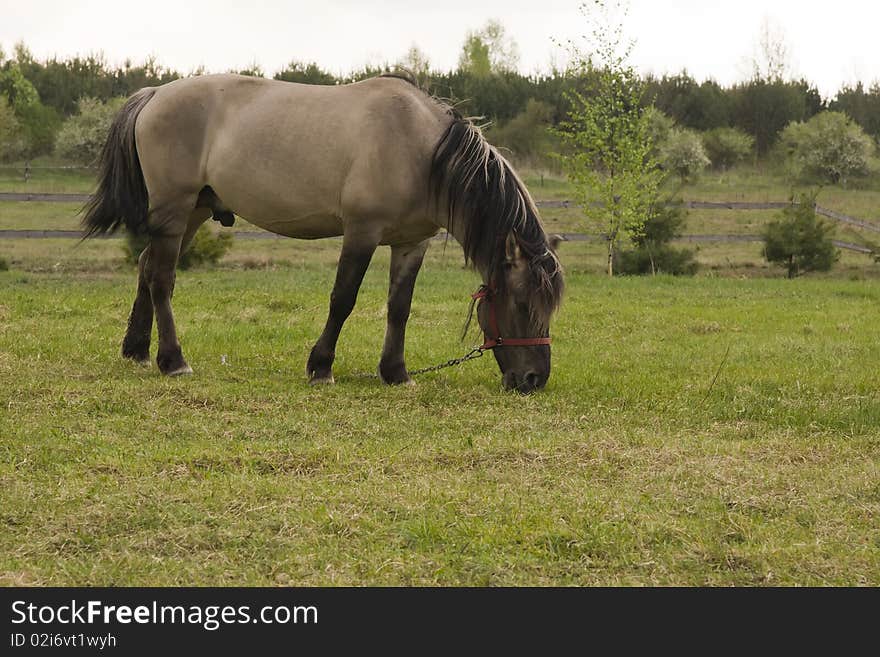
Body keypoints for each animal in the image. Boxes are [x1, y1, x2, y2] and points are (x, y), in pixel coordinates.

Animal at [84, 72, 564, 392]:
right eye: (522, 302)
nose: (534, 378)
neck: (422, 151)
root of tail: (155, 94)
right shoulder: (361, 233)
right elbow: (343, 299)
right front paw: (321, 366)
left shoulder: (412, 243)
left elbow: (399, 307)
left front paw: (396, 372)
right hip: (175, 209)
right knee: (162, 279)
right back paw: (173, 360)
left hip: (193, 213)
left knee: (147, 267)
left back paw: (137, 349)